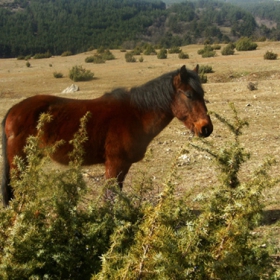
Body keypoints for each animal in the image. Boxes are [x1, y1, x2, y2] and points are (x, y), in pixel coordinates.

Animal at [1, 65, 213, 206]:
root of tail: (14, 110)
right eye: (189, 95)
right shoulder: (114, 164)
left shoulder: (123, 166)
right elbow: (110, 199)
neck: (136, 115)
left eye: (203, 94)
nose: (206, 128)